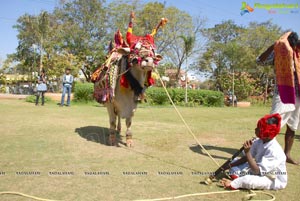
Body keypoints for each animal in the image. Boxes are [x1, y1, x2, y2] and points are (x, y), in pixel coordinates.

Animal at [92, 12, 166, 146]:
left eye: (152, 51)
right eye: (135, 49)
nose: (149, 61)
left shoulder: (132, 105)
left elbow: (129, 122)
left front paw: (129, 140)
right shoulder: (110, 103)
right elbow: (112, 121)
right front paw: (112, 139)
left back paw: (119, 129)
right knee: (115, 118)